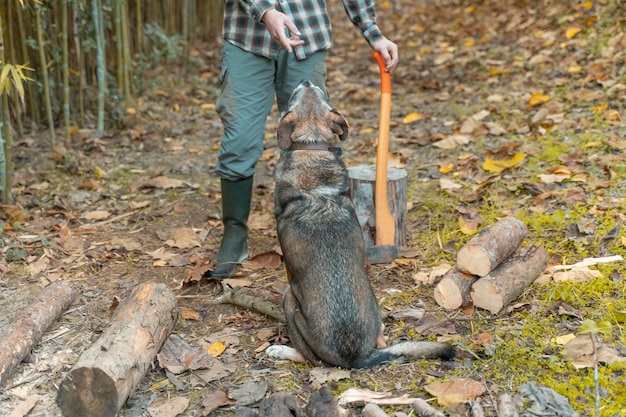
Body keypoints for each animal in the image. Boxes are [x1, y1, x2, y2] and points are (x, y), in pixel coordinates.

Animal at [264, 81, 454, 368]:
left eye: (295, 95)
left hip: (289, 299)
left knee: (310, 359)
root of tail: (355, 357)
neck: (312, 147)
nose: (307, 81)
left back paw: (281, 351)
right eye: (318, 94)